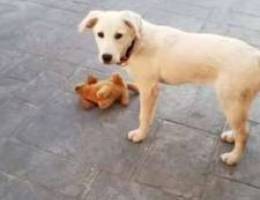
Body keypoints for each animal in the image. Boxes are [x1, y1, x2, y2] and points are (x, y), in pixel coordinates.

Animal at [78, 10, 260, 166]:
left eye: (119, 35)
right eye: (100, 34)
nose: (106, 57)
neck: (137, 42)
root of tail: (255, 54)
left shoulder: (147, 87)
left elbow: (143, 116)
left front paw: (140, 135)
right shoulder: (153, 89)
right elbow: (149, 114)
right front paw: (146, 130)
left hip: (230, 100)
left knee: (244, 133)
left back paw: (233, 157)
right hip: (240, 100)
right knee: (244, 127)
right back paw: (231, 136)